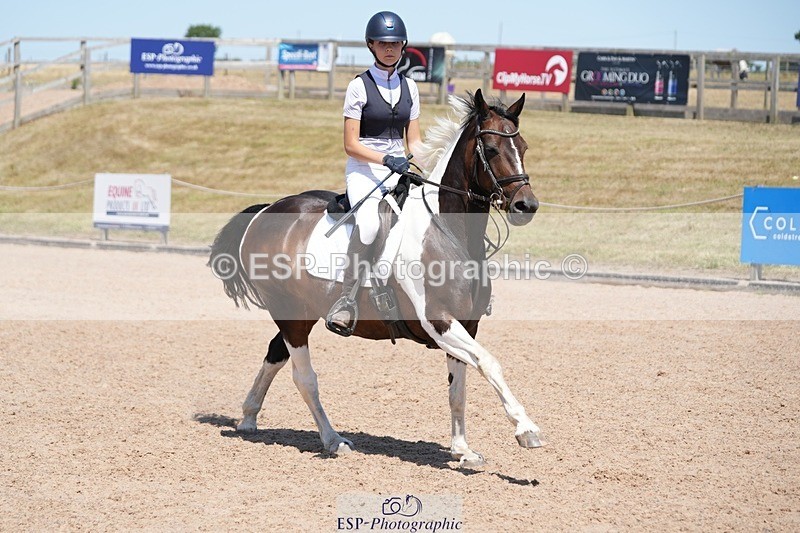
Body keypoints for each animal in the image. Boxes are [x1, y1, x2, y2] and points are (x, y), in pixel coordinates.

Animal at [209, 89, 542, 467]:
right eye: (492, 149)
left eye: (524, 147)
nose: (526, 206)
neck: (449, 233)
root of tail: (266, 209)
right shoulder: (438, 320)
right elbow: (489, 363)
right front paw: (526, 429)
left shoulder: (466, 325)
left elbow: (458, 388)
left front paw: (462, 449)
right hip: (289, 312)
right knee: (304, 377)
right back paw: (333, 440)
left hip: (302, 312)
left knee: (275, 353)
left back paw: (249, 417)